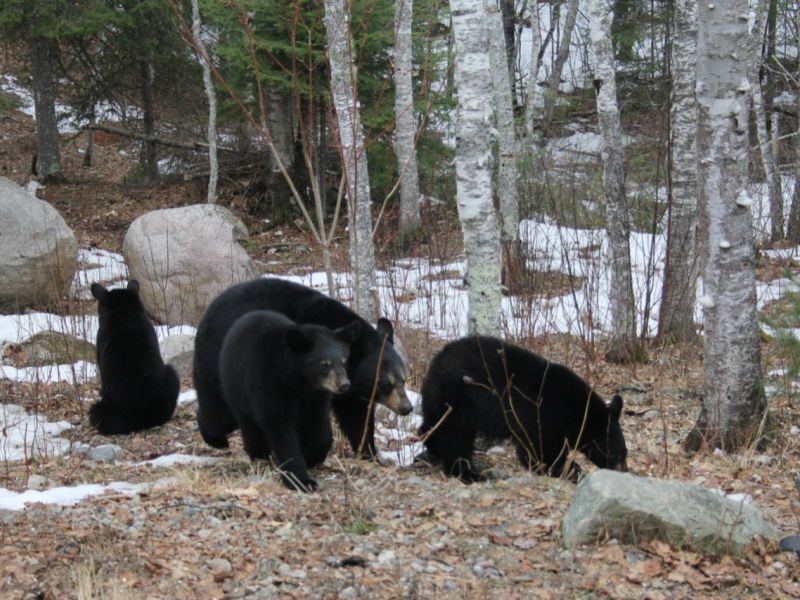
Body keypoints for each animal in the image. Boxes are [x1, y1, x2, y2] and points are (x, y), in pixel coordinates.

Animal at [193, 278, 412, 458]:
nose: (407, 407)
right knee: (218, 407)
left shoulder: (348, 390)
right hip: (218, 359)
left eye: (403, 379)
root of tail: (209, 310)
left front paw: (369, 452)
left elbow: (356, 418)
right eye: (387, 383)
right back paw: (215, 438)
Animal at [218, 310, 360, 491]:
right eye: (325, 364)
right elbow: (282, 432)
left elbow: (321, 428)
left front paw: (311, 456)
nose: (344, 385)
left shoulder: (316, 397)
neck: (299, 382)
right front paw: (301, 480)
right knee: (250, 427)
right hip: (237, 392)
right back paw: (259, 455)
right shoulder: (269, 386)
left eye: (344, 361)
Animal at [418, 336, 627, 482]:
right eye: (616, 456)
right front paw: (570, 470)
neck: (574, 410)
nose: (625, 471)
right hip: (458, 398)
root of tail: (437, 360)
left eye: (625, 454)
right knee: (456, 435)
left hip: (440, 399)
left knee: (434, 424)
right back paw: (468, 473)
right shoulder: (540, 416)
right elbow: (538, 450)